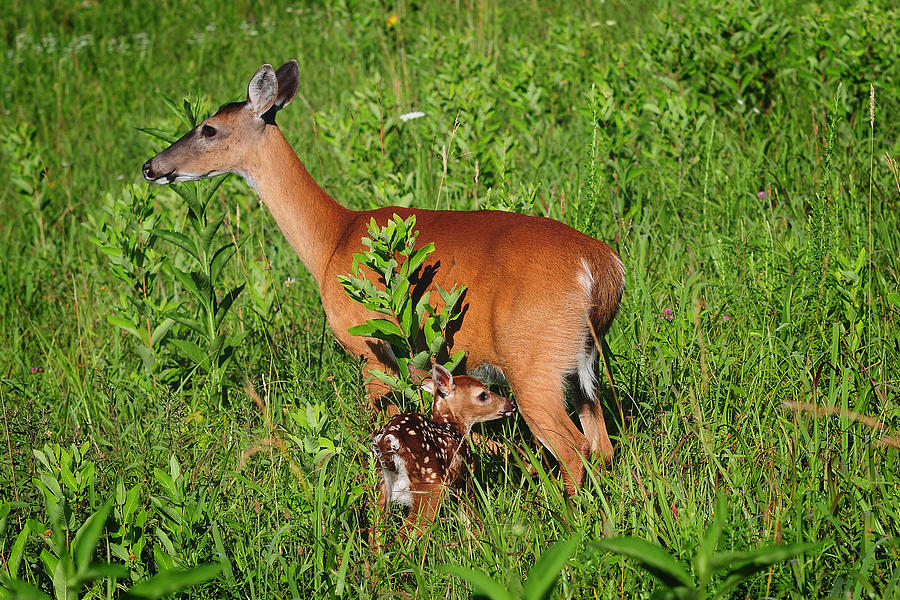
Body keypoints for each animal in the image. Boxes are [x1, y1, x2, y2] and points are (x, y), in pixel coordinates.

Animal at [144, 59, 624, 492]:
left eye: (208, 128)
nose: (151, 166)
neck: (332, 240)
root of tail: (600, 269)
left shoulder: (368, 350)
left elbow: (378, 429)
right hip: (583, 363)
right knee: (603, 445)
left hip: (533, 362)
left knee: (574, 449)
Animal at [370, 364, 512, 536]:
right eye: (482, 395)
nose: (510, 404)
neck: (455, 429)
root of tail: (390, 440)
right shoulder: (465, 478)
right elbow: (469, 517)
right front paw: (482, 538)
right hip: (430, 483)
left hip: (382, 484)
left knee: (375, 529)